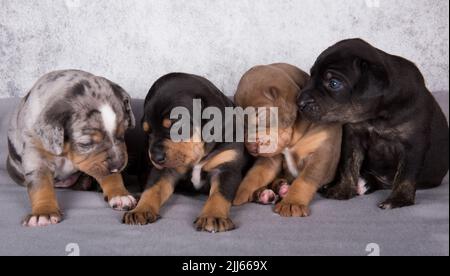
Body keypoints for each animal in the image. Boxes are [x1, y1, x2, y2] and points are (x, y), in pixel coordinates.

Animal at [6, 69, 137, 226]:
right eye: (86, 144)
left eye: (122, 135)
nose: (118, 166)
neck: (66, 152)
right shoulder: (36, 153)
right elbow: (41, 185)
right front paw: (43, 213)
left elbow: (111, 175)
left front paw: (120, 195)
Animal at [122, 73, 246, 233]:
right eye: (148, 132)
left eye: (177, 127)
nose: (155, 158)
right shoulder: (164, 171)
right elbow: (152, 189)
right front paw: (140, 210)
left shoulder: (226, 168)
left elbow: (219, 194)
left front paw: (213, 216)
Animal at [232, 63, 342, 217]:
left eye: (261, 116)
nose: (251, 147)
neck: (294, 138)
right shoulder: (271, 158)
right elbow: (255, 173)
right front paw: (239, 193)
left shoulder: (321, 154)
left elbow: (304, 181)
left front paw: (292, 203)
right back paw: (267, 193)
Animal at [298, 37, 450, 208]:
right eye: (311, 76)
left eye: (334, 83)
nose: (300, 102)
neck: (376, 116)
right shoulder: (353, 137)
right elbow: (348, 165)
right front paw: (342, 190)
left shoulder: (414, 144)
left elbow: (406, 175)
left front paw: (399, 200)